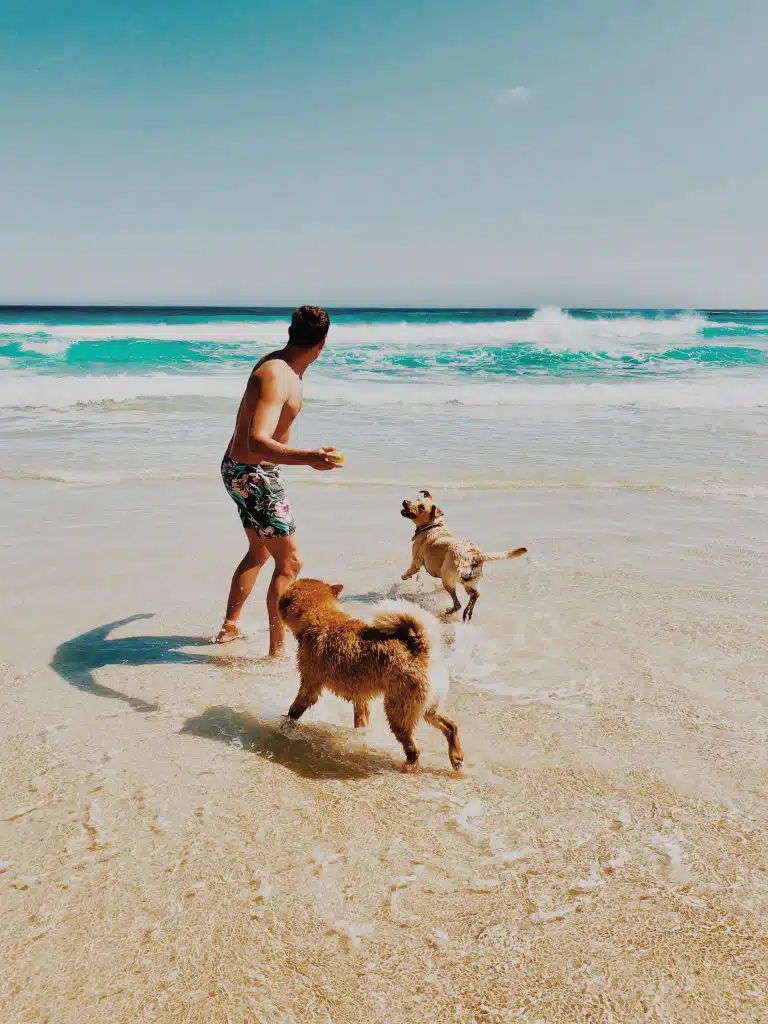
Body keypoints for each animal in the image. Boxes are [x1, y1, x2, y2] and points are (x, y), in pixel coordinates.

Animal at [280, 581, 466, 770]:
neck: (321, 617)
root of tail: (422, 649)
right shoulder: (360, 697)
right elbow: (361, 719)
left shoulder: (310, 685)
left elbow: (295, 710)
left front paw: (285, 725)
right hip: (427, 708)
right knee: (451, 726)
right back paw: (456, 757)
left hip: (398, 712)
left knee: (414, 750)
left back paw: (408, 766)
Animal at [397, 489, 528, 622]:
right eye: (417, 500)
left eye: (421, 507)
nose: (405, 502)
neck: (433, 526)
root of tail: (475, 555)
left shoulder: (416, 562)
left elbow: (410, 570)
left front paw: (404, 577)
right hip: (469, 581)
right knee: (475, 595)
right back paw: (467, 612)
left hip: (448, 579)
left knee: (457, 603)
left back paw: (448, 612)